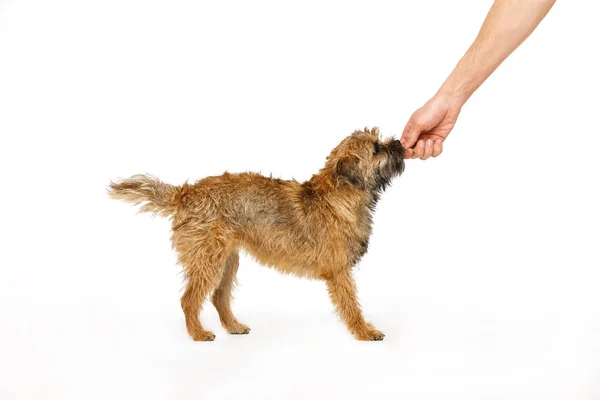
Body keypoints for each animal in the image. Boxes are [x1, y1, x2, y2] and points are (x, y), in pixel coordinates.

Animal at [110, 127, 406, 340]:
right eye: (376, 148)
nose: (399, 143)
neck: (339, 195)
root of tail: (186, 193)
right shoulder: (339, 271)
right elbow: (351, 305)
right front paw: (364, 331)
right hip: (208, 260)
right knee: (189, 299)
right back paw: (198, 333)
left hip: (227, 260)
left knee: (218, 297)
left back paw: (233, 326)